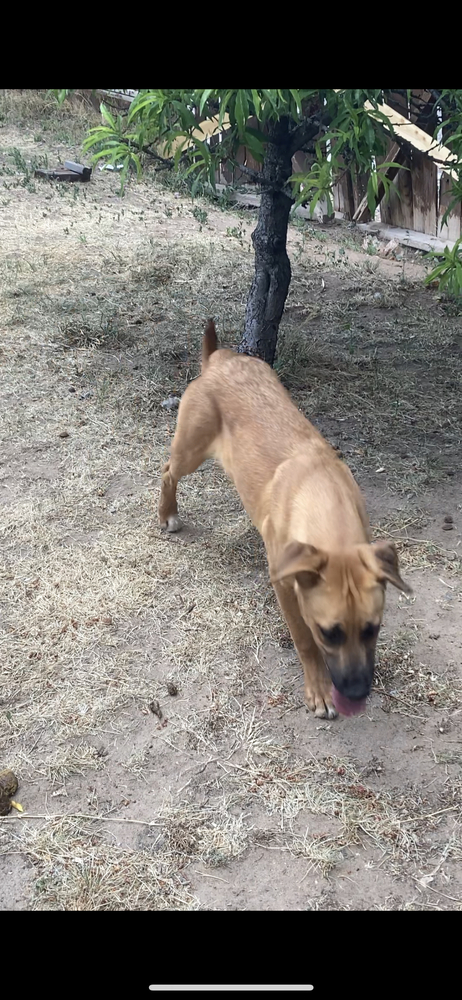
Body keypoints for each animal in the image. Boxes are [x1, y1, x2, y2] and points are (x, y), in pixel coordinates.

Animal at [159, 320, 412, 720]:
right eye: (329, 633)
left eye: (373, 629)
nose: (357, 694)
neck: (323, 498)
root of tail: (219, 359)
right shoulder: (286, 589)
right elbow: (303, 640)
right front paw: (319, 689)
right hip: (191, 449)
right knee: (168, 471)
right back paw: (167, 512)